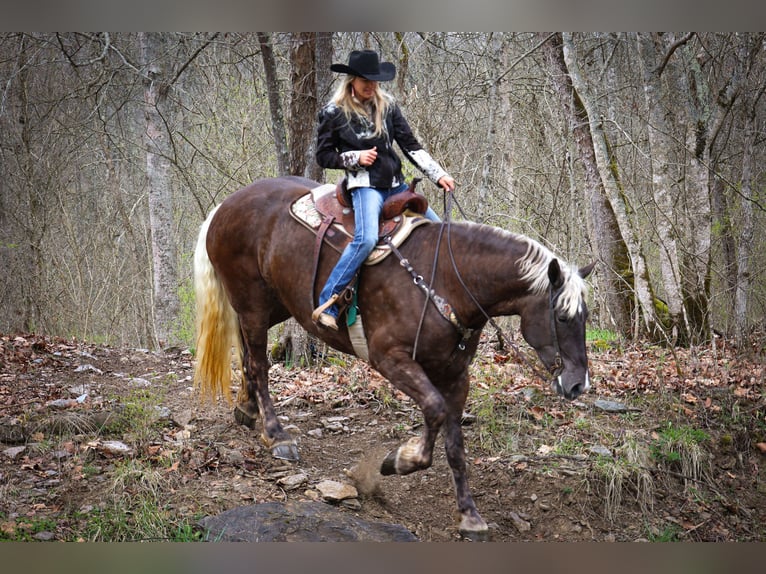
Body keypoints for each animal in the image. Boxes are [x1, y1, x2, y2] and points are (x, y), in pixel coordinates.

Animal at [192, 174, 592, 540]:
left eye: (585, 316)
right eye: (562, 316)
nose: (578, 384)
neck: (446, 281)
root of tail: (226, 206)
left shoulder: (456, 374)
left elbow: (454, 443)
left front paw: (469, 515)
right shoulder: (390, 359)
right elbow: (434, 410)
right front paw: (400, 460)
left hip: (274, 304)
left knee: (248, 352)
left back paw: (247, 409)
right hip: (253, 301)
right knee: (258, 362)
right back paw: (276, 435)